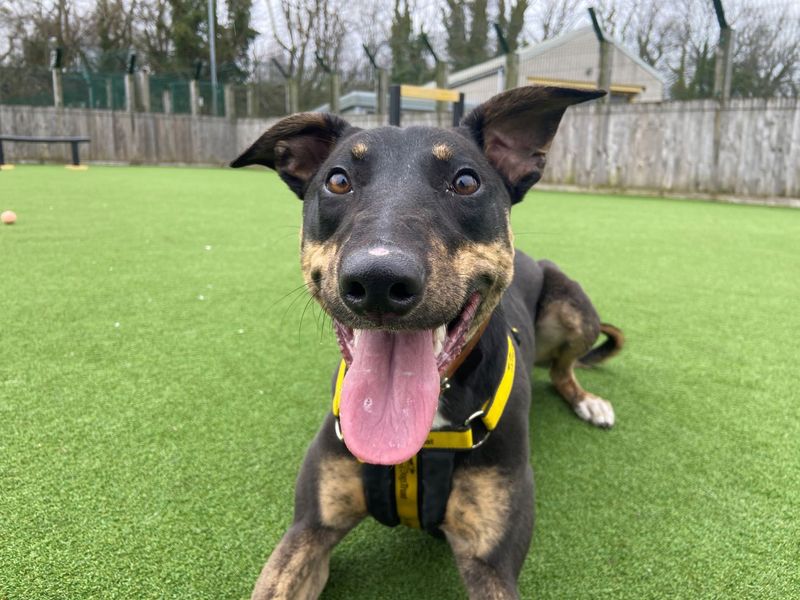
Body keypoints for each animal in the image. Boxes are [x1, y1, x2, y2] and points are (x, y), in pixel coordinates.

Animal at [231, 85, 624, 600]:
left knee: (563, 368)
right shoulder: (308, 530)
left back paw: (587, 400)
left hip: (573, 307)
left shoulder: (491, 563)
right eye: (337, 181)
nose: (378, 281)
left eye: (466, 182)